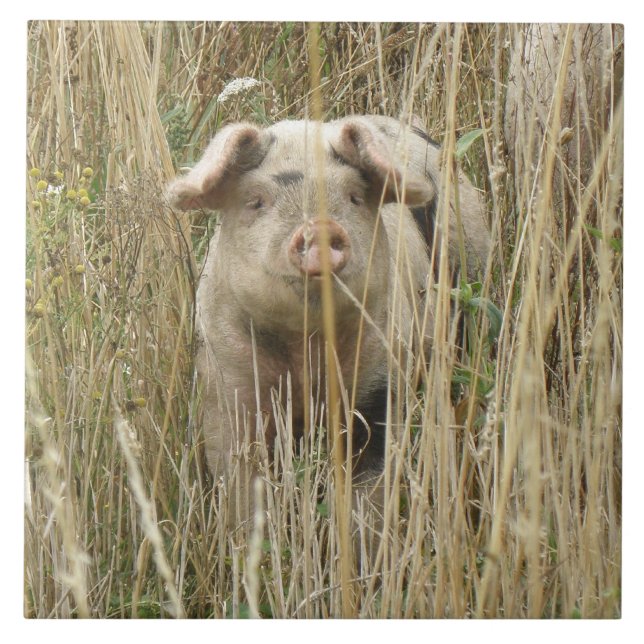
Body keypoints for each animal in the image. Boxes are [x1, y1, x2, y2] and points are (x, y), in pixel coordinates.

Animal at [166, 114, 489, 531]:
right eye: (256, 201)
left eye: (353, 196)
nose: (319, 227)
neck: (305, 350)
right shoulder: (226, 386)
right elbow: (241, 484)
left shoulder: (381, 382)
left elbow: (370, 491)